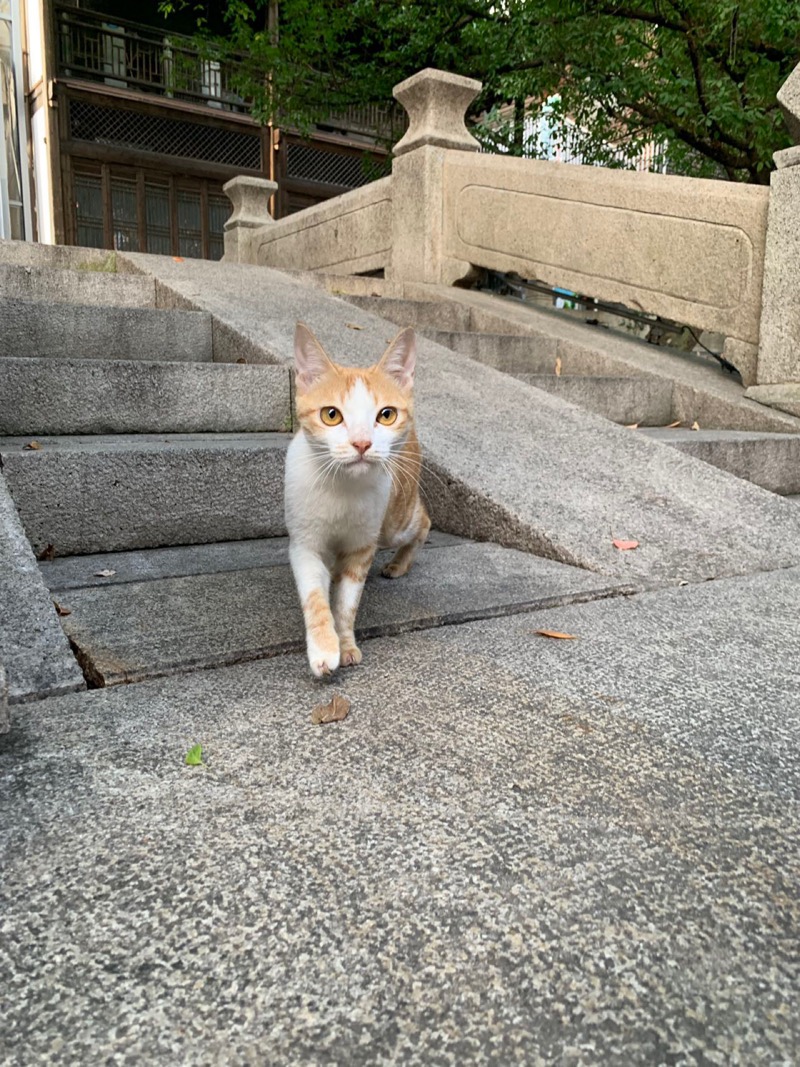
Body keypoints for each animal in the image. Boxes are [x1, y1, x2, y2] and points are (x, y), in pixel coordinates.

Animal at [283, 320, 433, 678]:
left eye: (386, 415)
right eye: (331, 415)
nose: (362, 443)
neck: (342, 489)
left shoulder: (363, 546)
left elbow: (347, 603)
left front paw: (345, 642)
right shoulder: (305, 545)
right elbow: (315, 598)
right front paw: (325, 647)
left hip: (395, 521)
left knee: (424, 521)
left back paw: (400, 563)